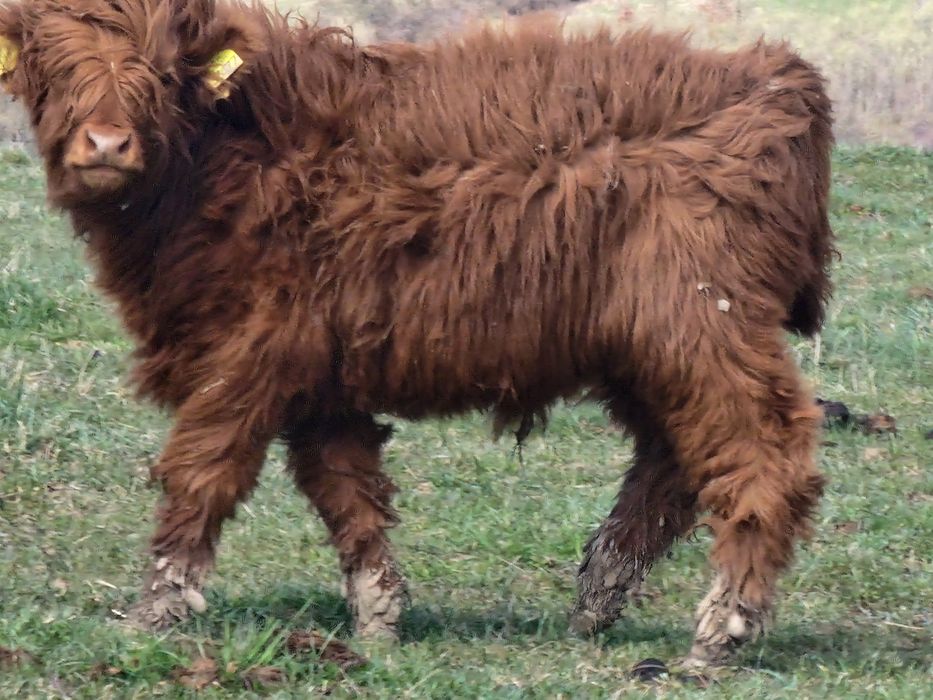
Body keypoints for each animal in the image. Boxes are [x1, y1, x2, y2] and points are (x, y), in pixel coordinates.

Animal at [0, 0, 834, 669]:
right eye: (52, 63)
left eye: (161, 69)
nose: (106, 145)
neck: (222, 156)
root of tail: (773, 78)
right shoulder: (317, 369)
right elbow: (346, 488)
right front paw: (378, 619)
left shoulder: (245, 356)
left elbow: (200, 474)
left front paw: (151, 614)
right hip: (643, 346)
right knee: (671, 462)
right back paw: (595, 601)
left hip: (701, 324)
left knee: (760, 453)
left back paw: (718, 634)